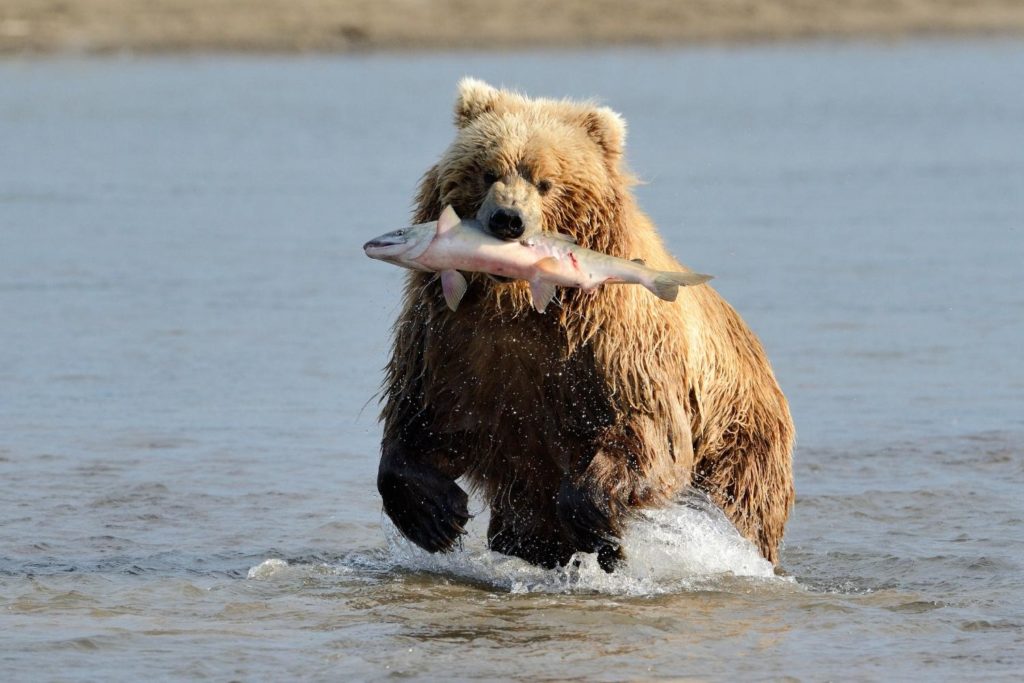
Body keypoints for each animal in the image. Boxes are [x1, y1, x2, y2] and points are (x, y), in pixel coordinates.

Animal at [377, 78, 795, 571]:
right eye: (489, 171)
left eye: (546, 182)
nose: (507, 220)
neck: (515, 303)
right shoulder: (452, 335)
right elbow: (425, 410)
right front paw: (436, 514)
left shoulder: (611, 344)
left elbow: (643, 431)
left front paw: (595, 516)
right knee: (524, 524)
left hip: (740, 438)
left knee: (737, 504)